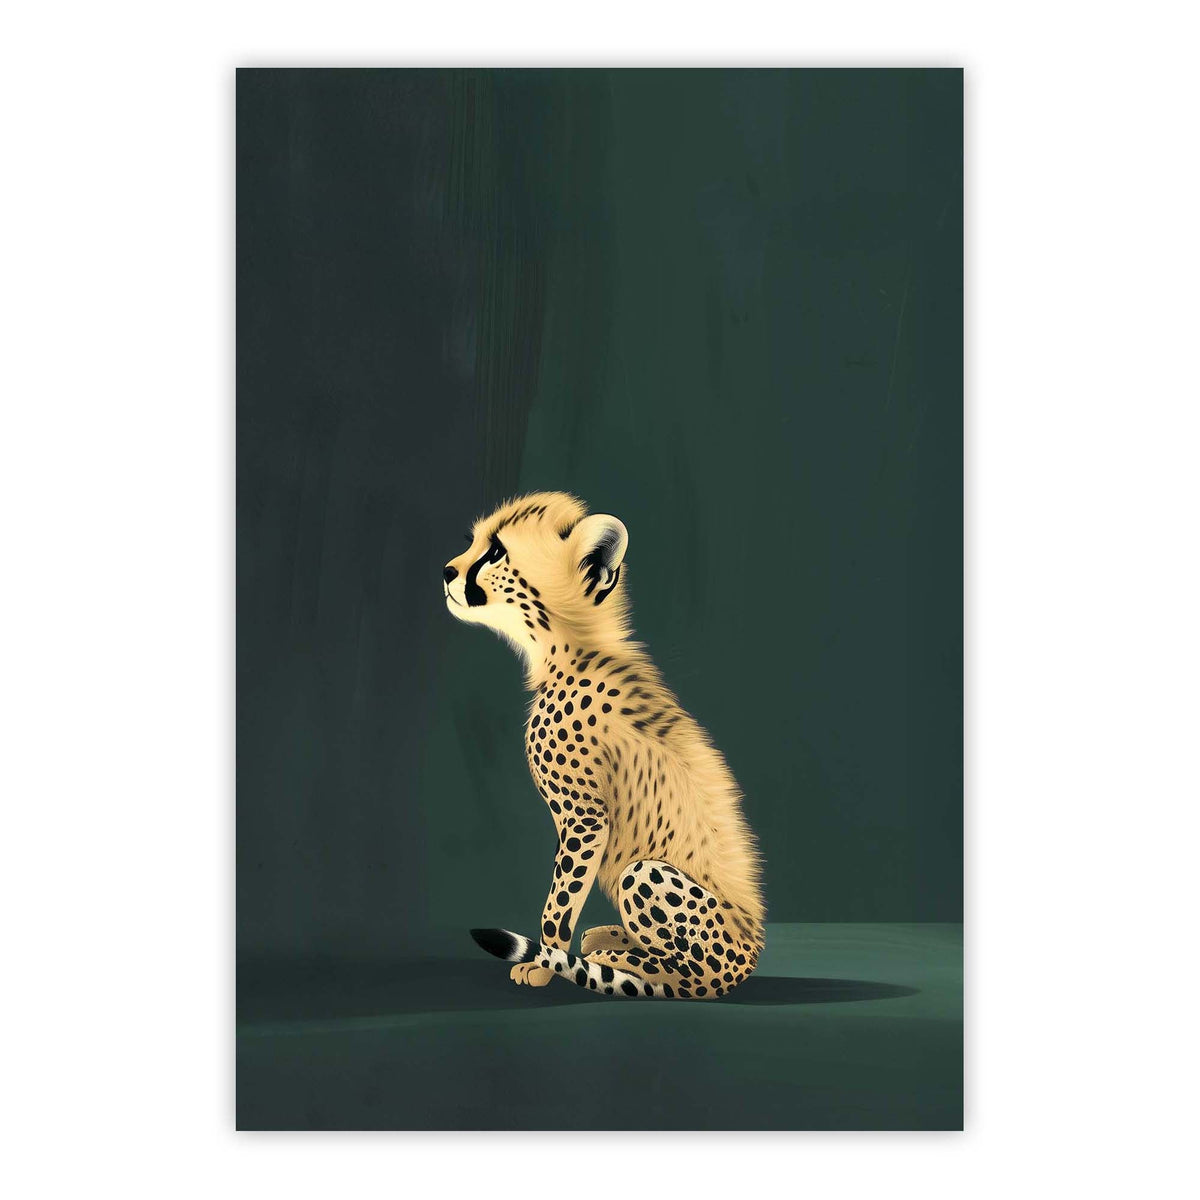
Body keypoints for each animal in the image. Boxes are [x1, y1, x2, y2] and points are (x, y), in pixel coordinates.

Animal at [443, 491, 764, 999]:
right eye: (475, 542)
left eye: (495, 552)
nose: (446, 571)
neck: (569, 647)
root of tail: (749, 956)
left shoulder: (585, 817)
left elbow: (560, 900)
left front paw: (545, 965)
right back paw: (610, 939)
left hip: (648, 876)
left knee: (691, 977)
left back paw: (616, 959)